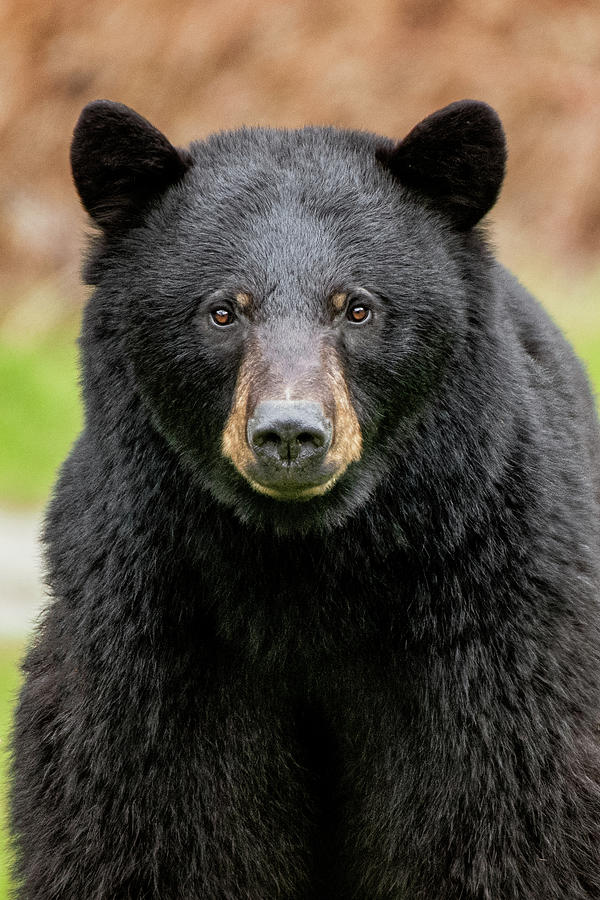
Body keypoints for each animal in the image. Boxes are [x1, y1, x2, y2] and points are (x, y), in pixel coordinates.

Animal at [8, 100, 600, 900]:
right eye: (223, 312)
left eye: (357, 308)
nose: (290, 433)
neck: (305, 565)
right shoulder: (151, 629)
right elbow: (149, 824)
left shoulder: (491, 617)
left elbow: (508, 812)